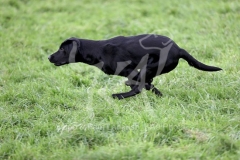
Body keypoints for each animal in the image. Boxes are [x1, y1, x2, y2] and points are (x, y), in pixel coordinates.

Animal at [47, 34, 222, 99]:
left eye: (62, 49)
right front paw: (159, 94)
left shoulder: (129, 70)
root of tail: (179, 49)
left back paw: (118, 95)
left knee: (139, 86)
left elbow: (141, 84)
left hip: (151, 66)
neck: (98, 50)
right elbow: (147, 85)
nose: (49, 57)